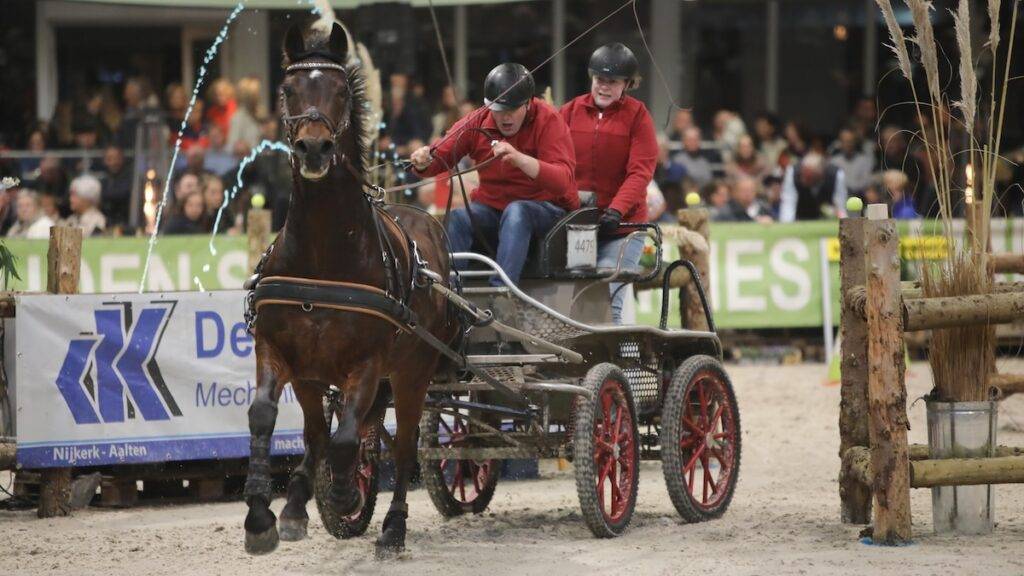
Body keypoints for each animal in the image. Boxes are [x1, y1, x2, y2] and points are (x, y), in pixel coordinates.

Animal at [242, 21, 458, 557]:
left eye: (340, 90)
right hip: (323, 376)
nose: (314, 149)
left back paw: (393, 526)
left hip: (412, 374)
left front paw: (343, 496)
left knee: (402, 447)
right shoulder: (282, 352)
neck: (323, 255)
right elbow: (266, 417)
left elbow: (347, 440)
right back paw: (298, 505)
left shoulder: (368, 363)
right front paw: (263, 515)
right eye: (288, 88)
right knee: (325, 434)